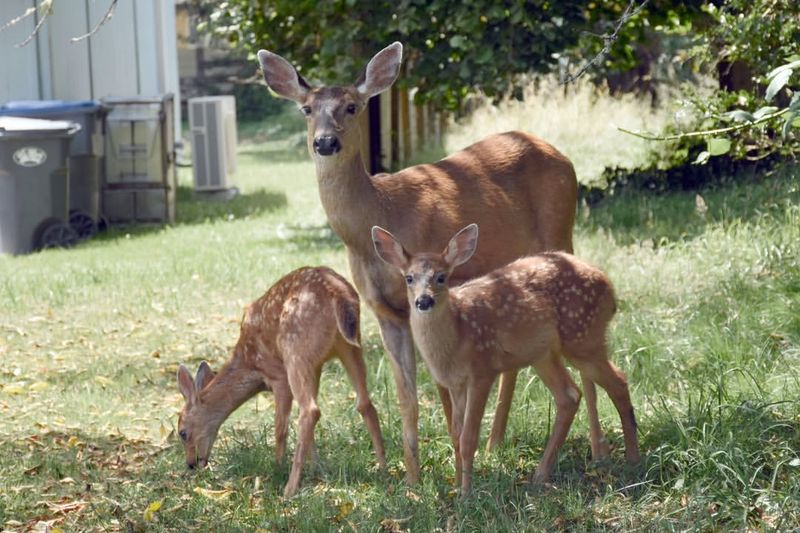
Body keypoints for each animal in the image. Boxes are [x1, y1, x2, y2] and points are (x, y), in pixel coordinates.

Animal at [176, 266, 386, 498]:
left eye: (182, 433)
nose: (191, 464)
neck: (249, 364)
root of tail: (338, 293)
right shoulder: (317, 366)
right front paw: (318, 469)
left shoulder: (278, 376)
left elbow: (280, 427)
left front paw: (278, 467)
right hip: (349, 346)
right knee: (364, 403)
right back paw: (383, 470)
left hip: (293, 348)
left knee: (310, 411)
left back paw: (289, 489)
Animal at [257, 42, 578, 484]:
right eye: (306, 108)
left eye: (352, 106)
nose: (325, 142)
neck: (383, 213)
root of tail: (560, 154)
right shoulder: (384, 311)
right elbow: (406, 397)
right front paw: (412, 478)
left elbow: (443, 388)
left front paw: (455, 462)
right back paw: (495, 443)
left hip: (562, 230)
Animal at [372, 223, 640, 496]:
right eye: (409, 278)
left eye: (441, 277)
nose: (424, 301)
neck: (458, 333)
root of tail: (609, 286)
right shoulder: (456, 383)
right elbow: (455, 435)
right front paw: (456, 485)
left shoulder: (483, 369)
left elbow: (468, 437)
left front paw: (466, 494)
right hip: (544, 354)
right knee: (570, 395)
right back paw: (540, 475)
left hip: (583, 336)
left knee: (618, 381)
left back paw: (632, 459)